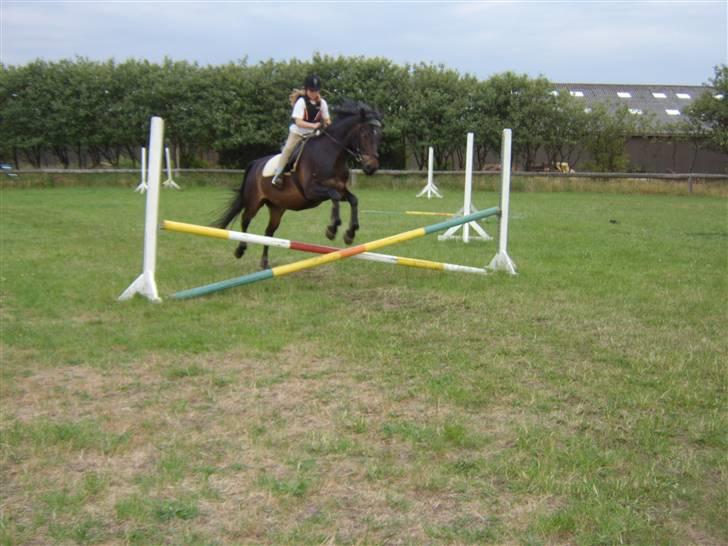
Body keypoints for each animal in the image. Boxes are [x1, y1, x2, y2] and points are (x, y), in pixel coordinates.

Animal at [212, 101, 384, 268]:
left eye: (378, 137)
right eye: (365, 135)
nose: (371, 167)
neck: (331, 155)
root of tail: (255, 163)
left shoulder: (341, 189)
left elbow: (353, 199)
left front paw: (350, 234)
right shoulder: (311, 191)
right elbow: (334, 196)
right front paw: (332, 229)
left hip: (277, 208)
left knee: (269, 232)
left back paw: (264, 262)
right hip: (254, 202)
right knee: (245, 221)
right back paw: (240, 250)